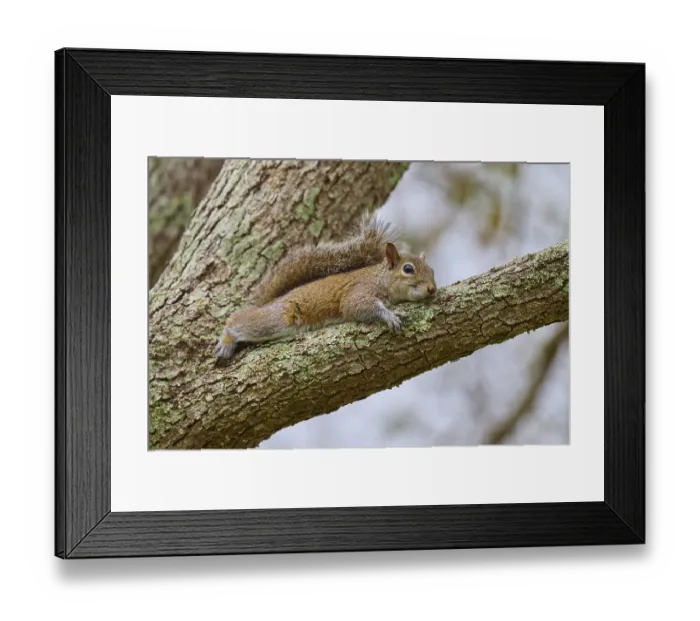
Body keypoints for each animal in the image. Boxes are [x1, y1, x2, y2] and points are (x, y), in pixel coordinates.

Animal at [214, 216, 437, 359]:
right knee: (238, 321)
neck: (380, 278)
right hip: (275, 319)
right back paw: (226, 341)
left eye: (432, 270)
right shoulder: (360, 290)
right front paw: (389, 315)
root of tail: (270, 302)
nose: (432, 289)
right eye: (408, 269)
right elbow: (356, 306)